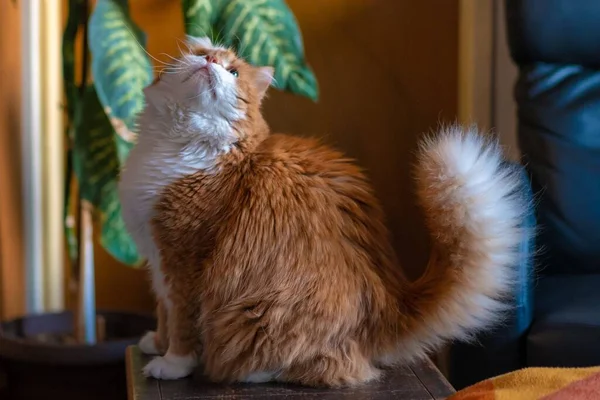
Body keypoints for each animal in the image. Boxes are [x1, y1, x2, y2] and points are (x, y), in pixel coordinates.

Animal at [119, 36, 528, 386]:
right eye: (202, 53)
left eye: (232, 71)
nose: (211, 62)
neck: (178, 144)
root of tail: (390, 303)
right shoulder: (157, 257)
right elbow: (165, 310)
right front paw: (156, 342)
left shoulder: (184, 257)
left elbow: (183, 321)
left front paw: (173, 363)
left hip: (265, 315)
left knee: (327, 366)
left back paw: (250, 372)